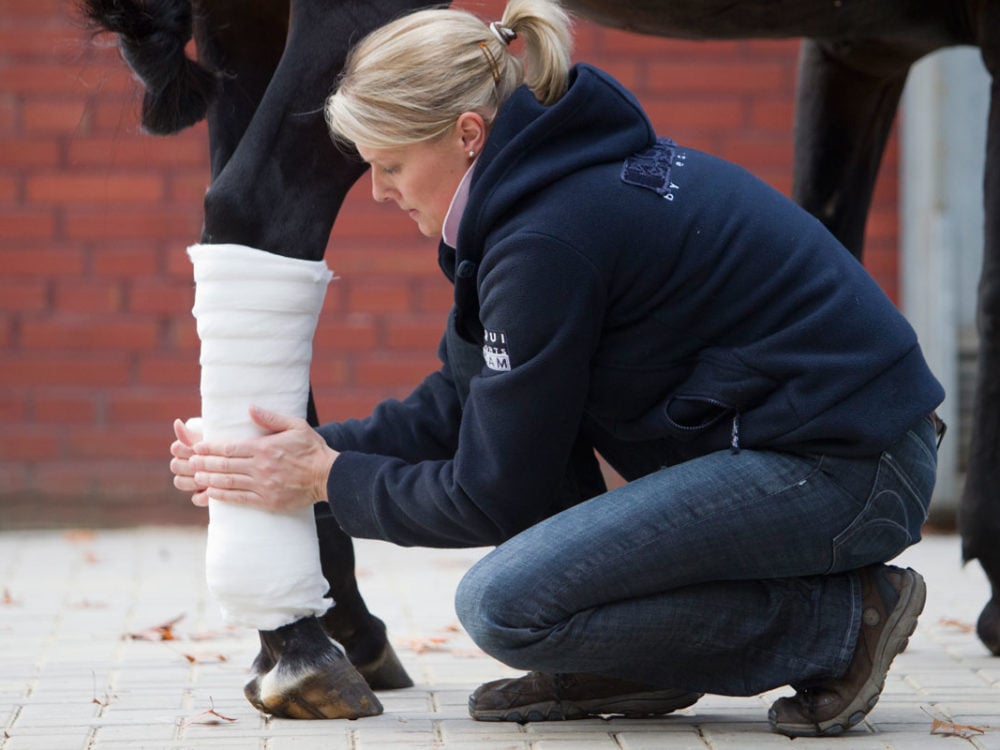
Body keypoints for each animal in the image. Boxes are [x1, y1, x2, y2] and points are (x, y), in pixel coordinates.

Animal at [84, 0, 1000, 724]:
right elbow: (984, 287)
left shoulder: (856, 44)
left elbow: (831, 221)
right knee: (257, 208)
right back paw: (305, 644)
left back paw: (327, 629)